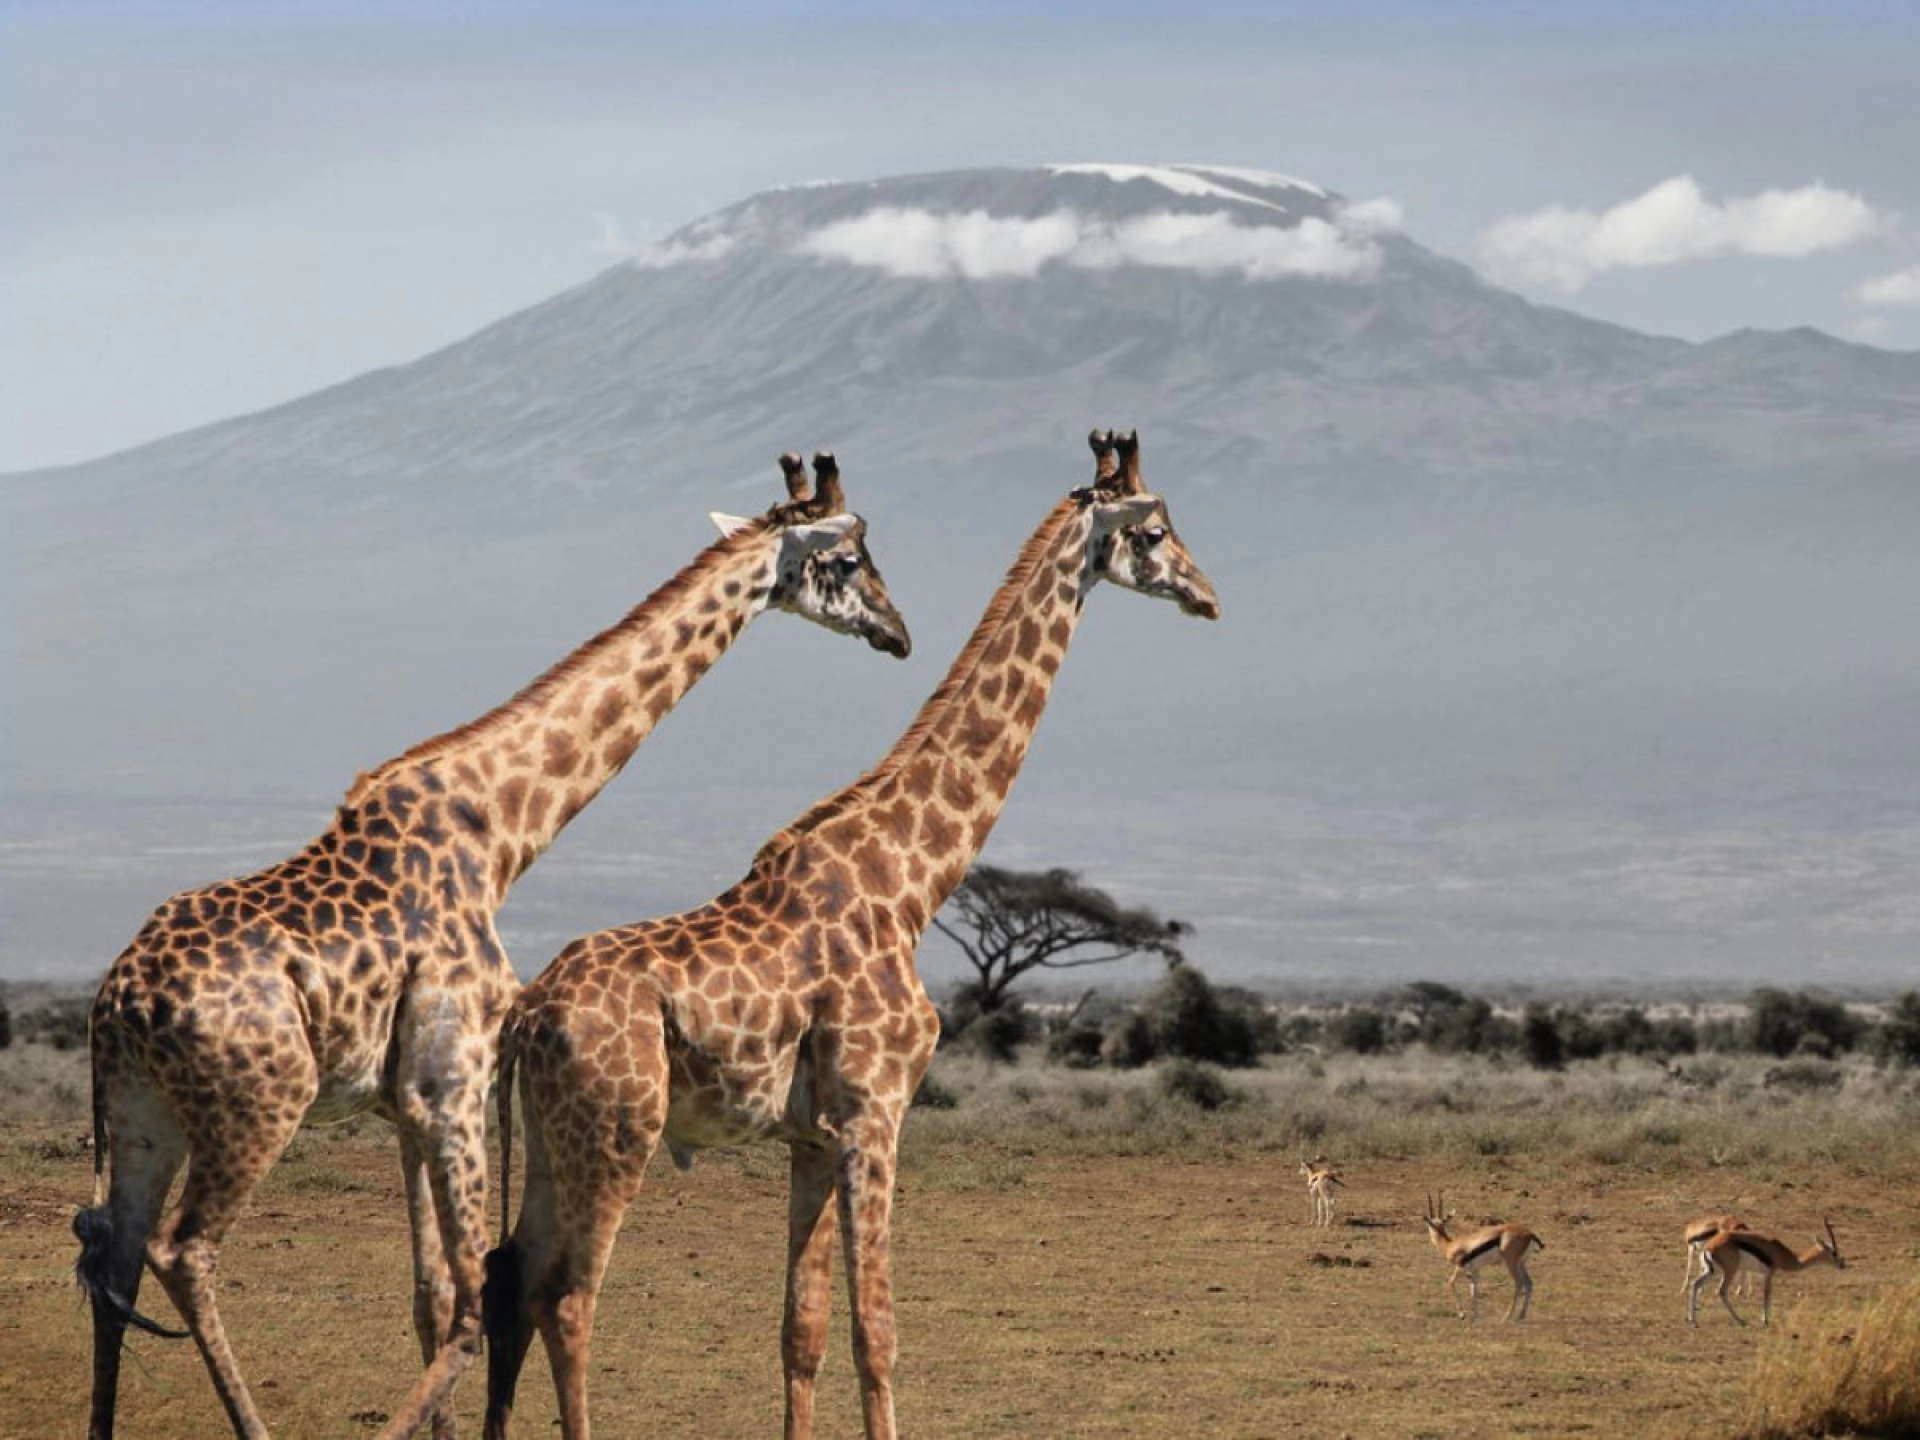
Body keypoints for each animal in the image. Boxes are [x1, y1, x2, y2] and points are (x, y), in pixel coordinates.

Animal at [74, 453, 911, 1440]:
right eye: (850, 560)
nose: (899, 633)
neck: (502, 831)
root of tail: (117, 1003)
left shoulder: (406, 1106)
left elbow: (432, 1296)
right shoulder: (456, 1083)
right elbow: (475, 1299)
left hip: (143, 1114)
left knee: (114, 1258)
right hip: (258, 1106)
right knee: (185, 1251)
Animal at [482, 429, 1219, 1440]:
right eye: (1152, 532)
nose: (1208, 594)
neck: (909, 882)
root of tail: (524, 1018)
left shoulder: (813, 1137)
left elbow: (804, 1329)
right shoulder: (877, 1114)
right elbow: (879, 1329)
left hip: (552, 1141)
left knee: (507, 1285)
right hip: (615, 1134)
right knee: (568, 1301)